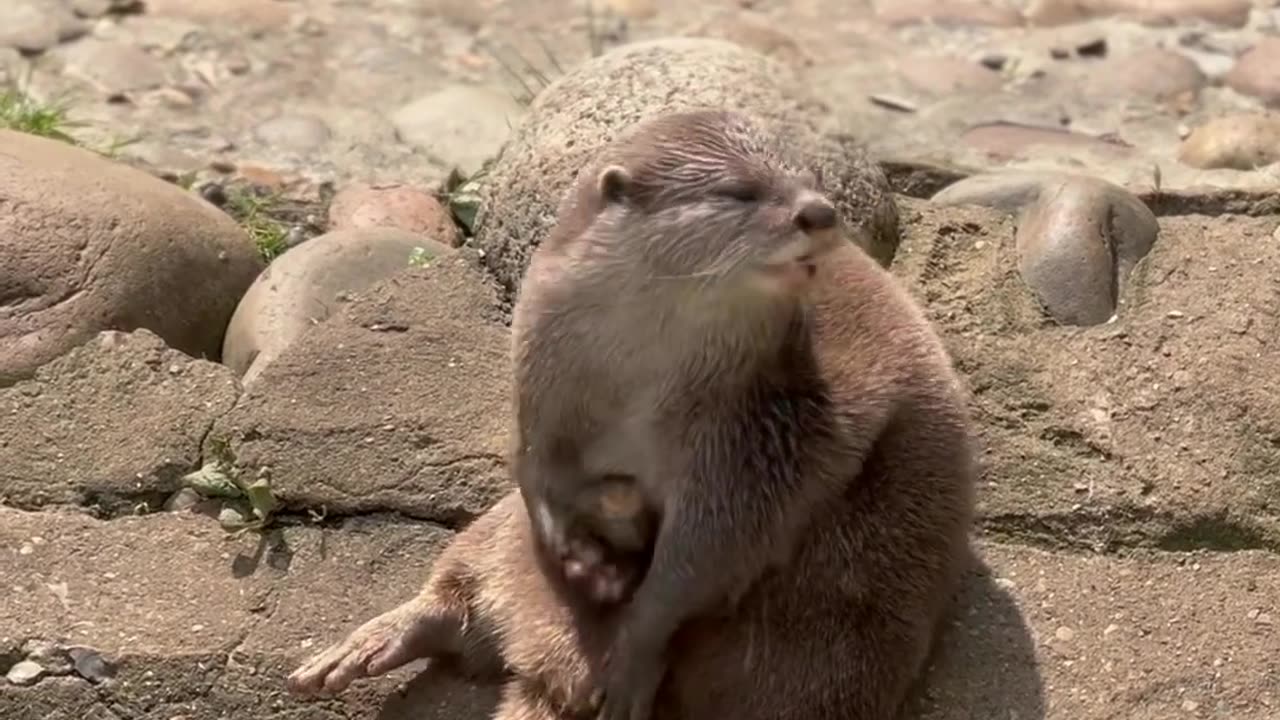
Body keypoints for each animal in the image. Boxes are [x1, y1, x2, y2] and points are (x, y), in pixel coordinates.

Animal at [285, 106, 972, 717]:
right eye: (740, 190)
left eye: (810, 180)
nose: (820, 212)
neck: (638, 387)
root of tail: (546, 660)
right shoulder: (540, 384)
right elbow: (532, 470)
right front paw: (582, 550)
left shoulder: (753, 439)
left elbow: (703, 553)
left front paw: (633, 655)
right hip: (499, 531)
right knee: (460, 585)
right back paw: (359, 650)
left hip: (828, 646)